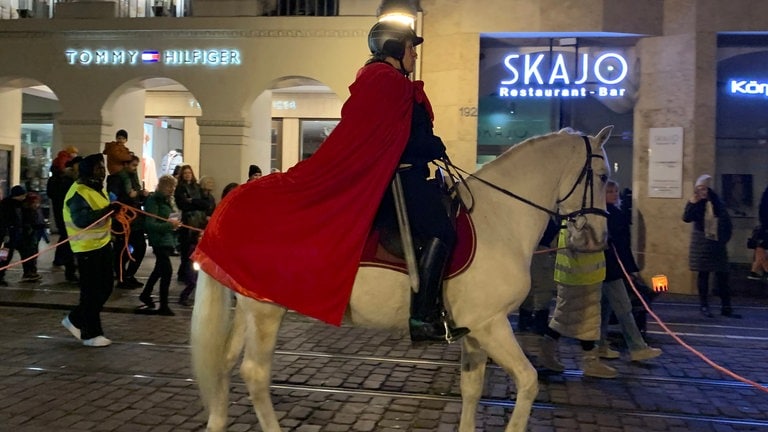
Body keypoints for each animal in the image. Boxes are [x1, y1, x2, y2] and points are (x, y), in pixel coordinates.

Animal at [190, 125, 612, 432]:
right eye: (605, 174)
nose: (597, 238)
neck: (500, 217)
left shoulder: (475, 330)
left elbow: (472, 389)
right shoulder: (492, 326)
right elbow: (528, 381)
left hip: (249, 306)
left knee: (224, 364)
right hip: (266, 312)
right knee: (255, 374)